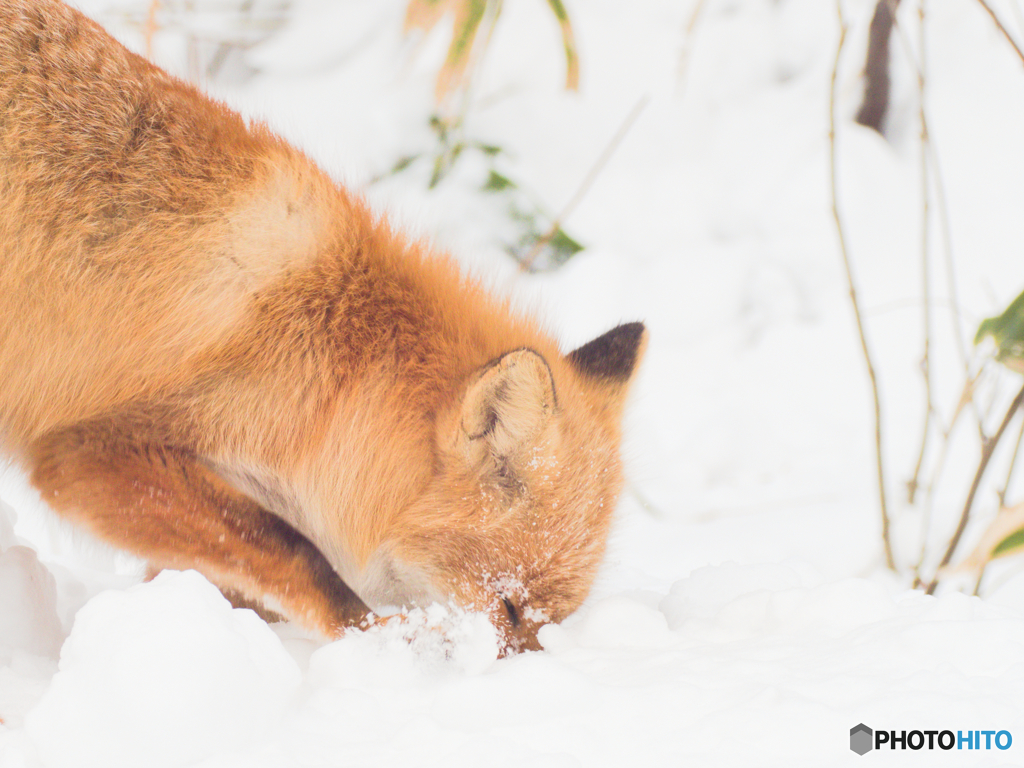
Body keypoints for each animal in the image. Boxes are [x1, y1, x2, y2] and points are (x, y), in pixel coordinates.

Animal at [0, 0, 638, 655]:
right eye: (509, 608)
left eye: (551, 622)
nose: (522, 670)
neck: (338, 369)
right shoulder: (92, 451)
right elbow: (298, 556)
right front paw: (382, 644)